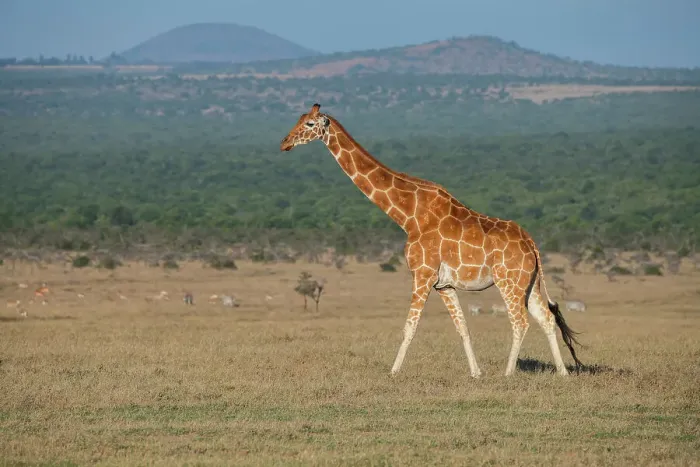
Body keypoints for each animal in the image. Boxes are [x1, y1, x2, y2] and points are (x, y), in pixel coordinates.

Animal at [280, 104, 583, 377]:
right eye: (298, 118)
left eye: (309, 124)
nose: (285, 143)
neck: (408, 216)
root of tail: (531, 243)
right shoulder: (444, 285)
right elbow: (462, 327)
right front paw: (476, 373)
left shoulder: (422, 275)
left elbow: (409, 327)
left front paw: (393, 371)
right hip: (528, 283)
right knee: (546, 317)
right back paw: (562, 372)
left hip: (508, 281)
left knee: (520, 322)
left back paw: (508, 373)